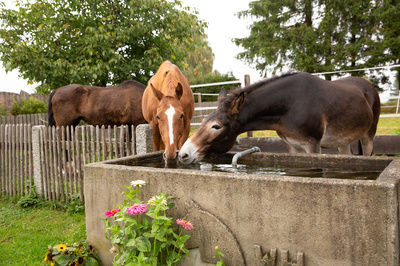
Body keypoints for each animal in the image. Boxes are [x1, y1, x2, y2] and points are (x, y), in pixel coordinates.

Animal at [179, 72, 382, 164]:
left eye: (216, 126)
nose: (182, 154)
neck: (289, 107)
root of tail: (368, 85)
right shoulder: (292, 145)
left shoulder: (313, 145)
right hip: (342, 141)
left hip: (369, 135)